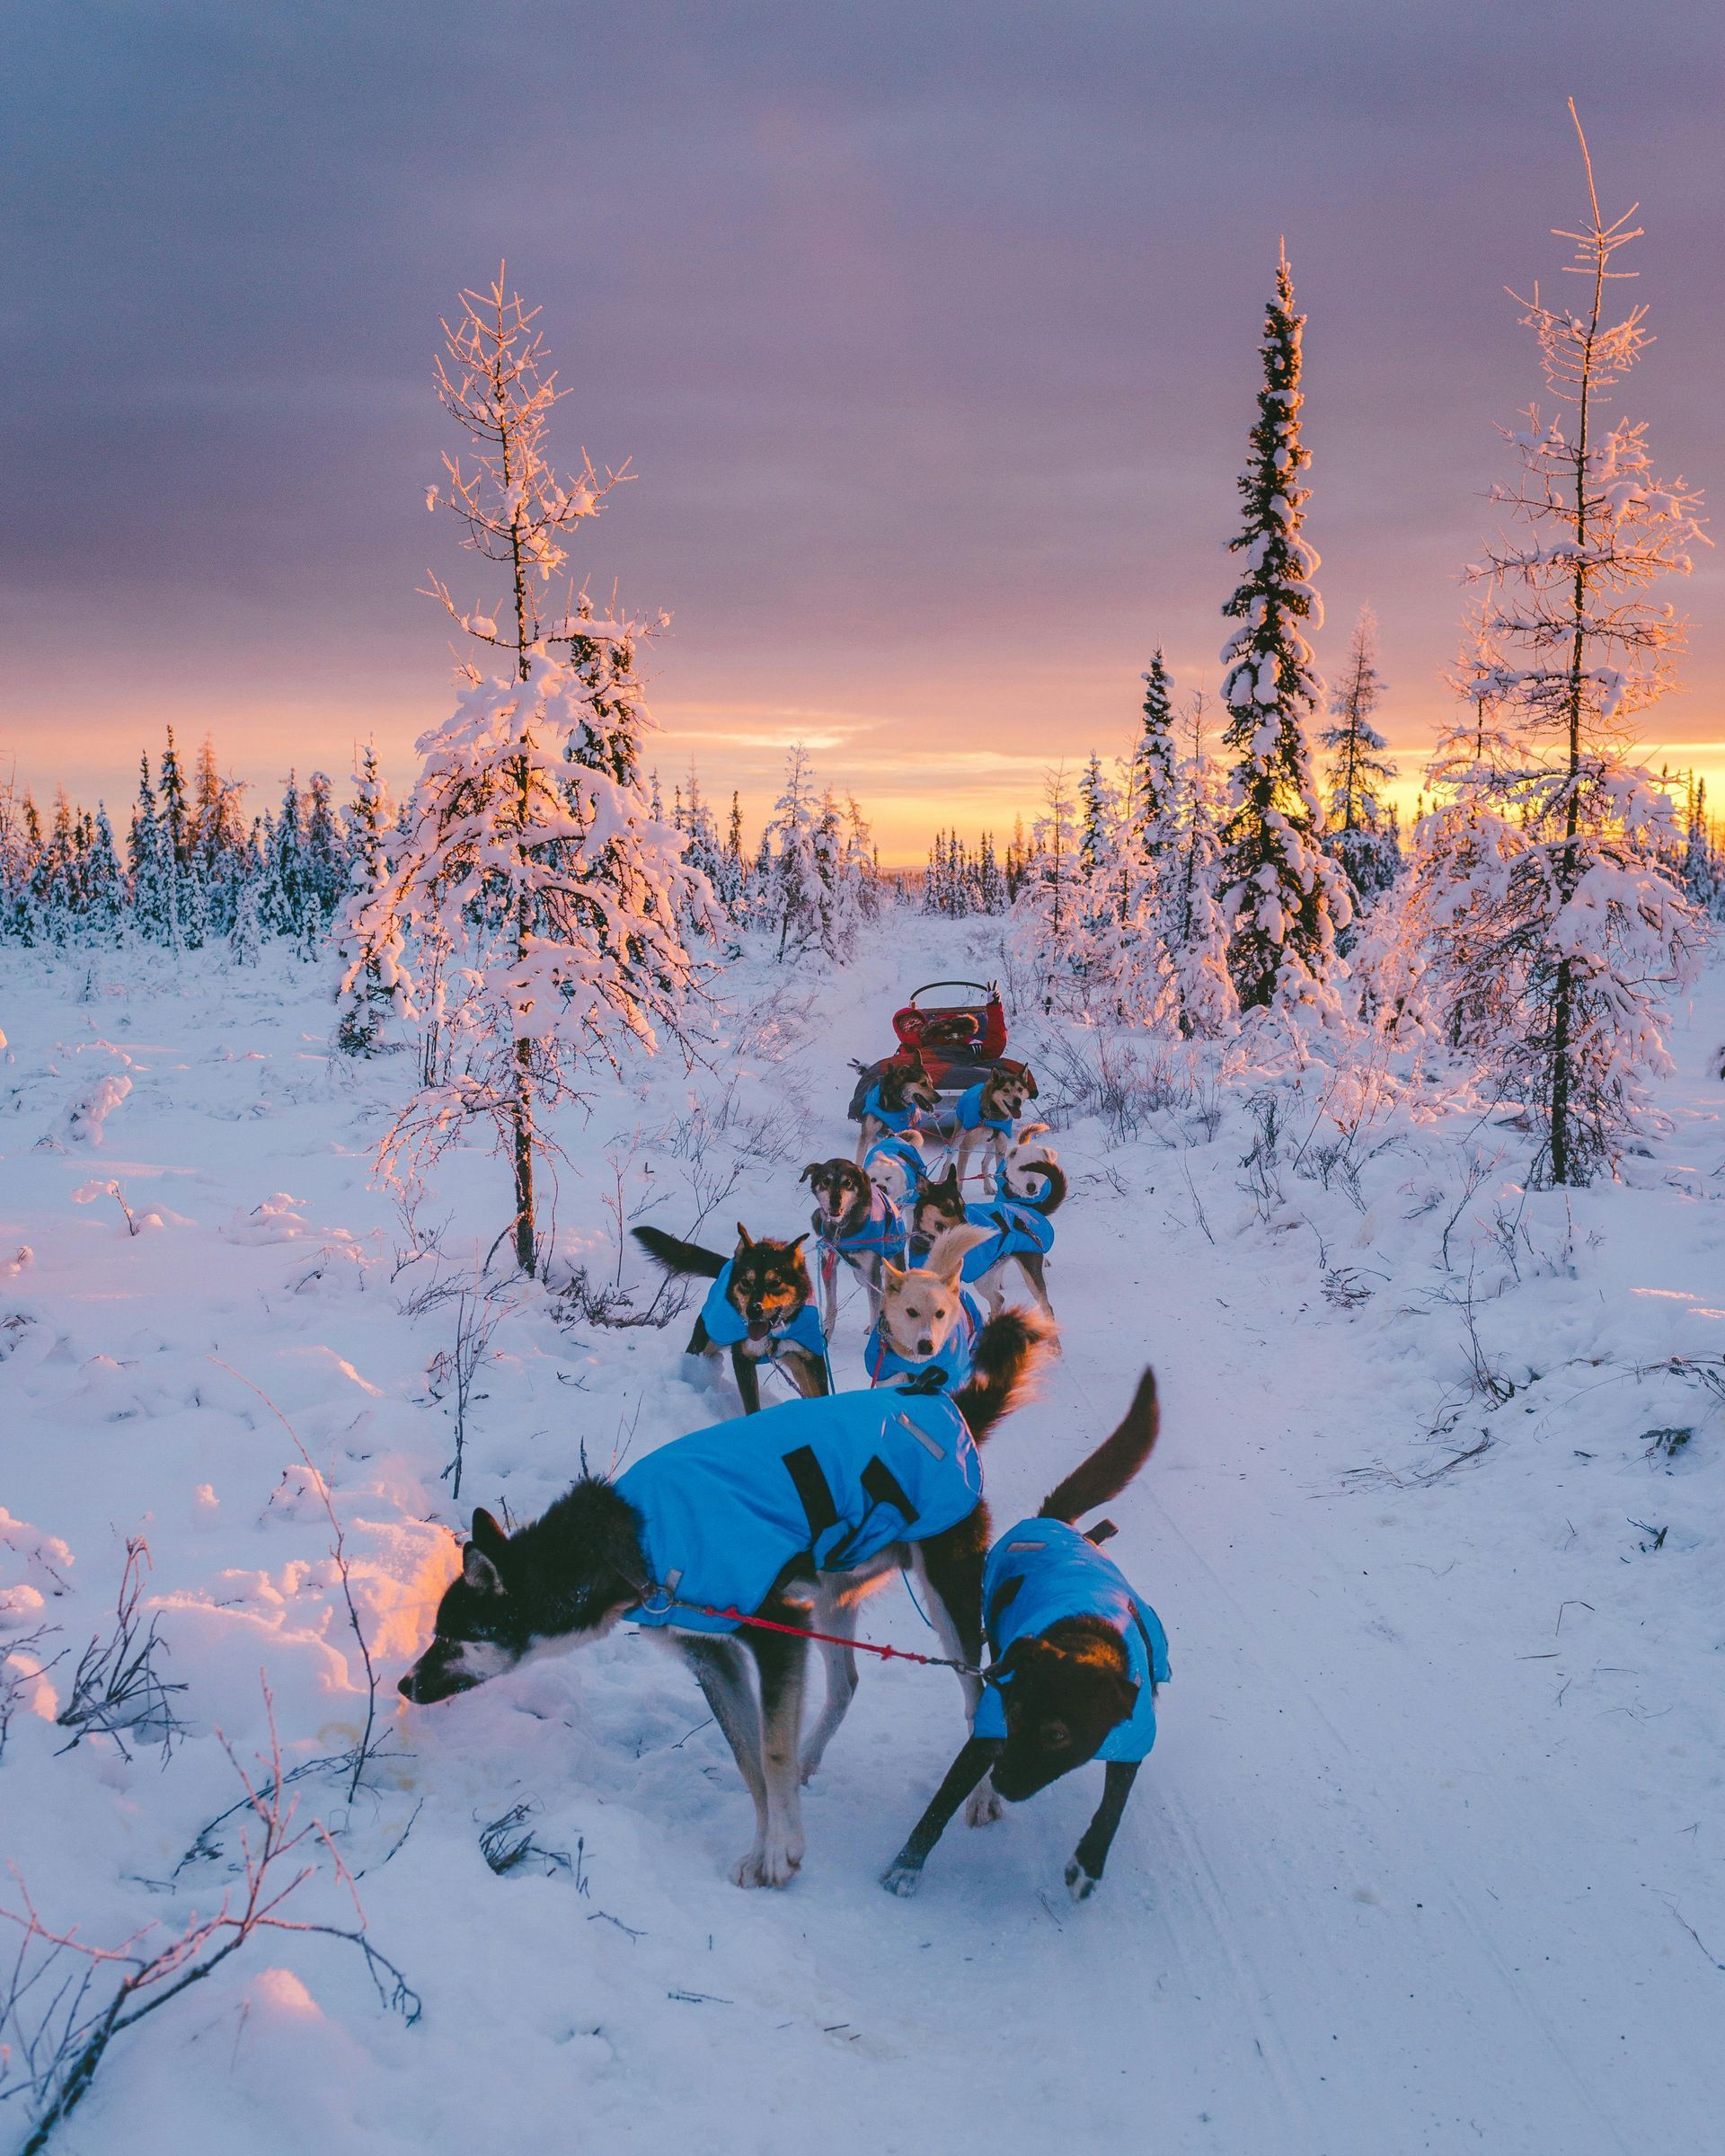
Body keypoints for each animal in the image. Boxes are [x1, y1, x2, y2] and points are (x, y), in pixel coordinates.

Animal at [401, 1311, 1052, 1888]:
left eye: (452, 1637)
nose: (405, 1685)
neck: (632, 1541)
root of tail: (947, 1405)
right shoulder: (713, 1657)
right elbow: (750, 1762)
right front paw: (765, 1849)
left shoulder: (774, 1633)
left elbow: (770, 1752)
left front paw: (783, 1854)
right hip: (832, 1599)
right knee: (845, 1685)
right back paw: (816, 1754)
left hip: (947, 1600)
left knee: (979, 1695)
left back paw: (982, 1795)